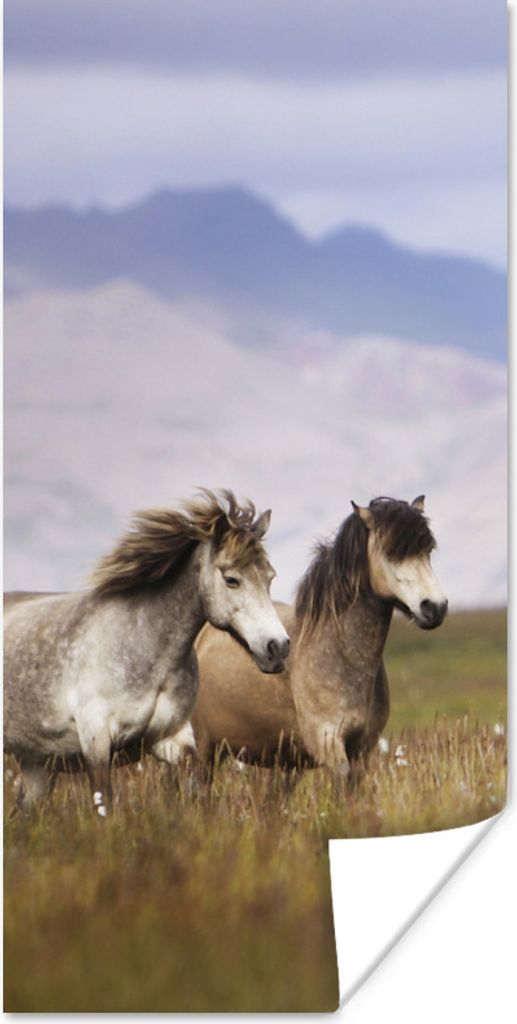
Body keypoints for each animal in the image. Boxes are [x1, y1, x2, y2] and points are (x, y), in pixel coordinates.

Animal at [4, 490, 290, 815]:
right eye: (231, 579)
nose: (277, 648)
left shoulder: (171, 739)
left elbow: (195, 782)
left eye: (269, 577)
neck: (147, 650)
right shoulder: (96, 740)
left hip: (36, 764)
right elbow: (104, 803)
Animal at [190, 496, 448, 778]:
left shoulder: (362, 750)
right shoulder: (329, 744)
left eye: (428, 551)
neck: (342, 655)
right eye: (390, 551)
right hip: (202, 754)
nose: (435, 607)